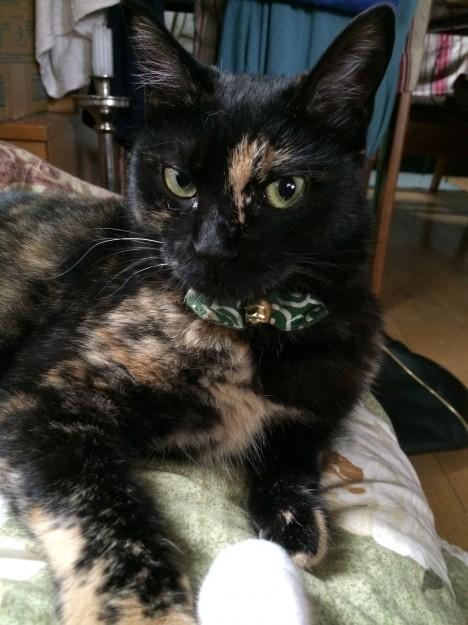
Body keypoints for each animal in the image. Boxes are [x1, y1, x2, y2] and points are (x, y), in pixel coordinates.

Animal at [0, 4, 394, 624]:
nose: (211, 247)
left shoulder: (323, 401)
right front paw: (144, 610)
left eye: (286, 190)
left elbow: (294, 449)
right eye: (179, 181)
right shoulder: (42, 395)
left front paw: (294, 523)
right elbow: (106, 513)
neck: (255, 329)